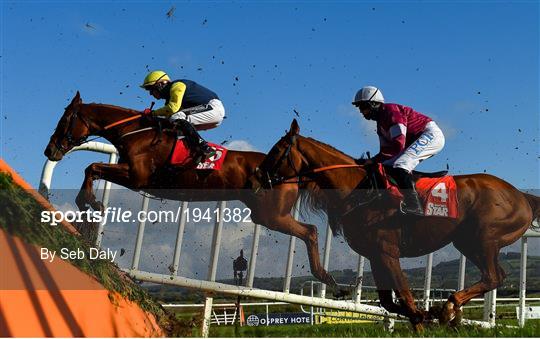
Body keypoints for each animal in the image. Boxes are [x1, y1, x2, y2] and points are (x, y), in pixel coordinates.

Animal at [44, 92, 340, 290]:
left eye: (64, 119)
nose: (50, 150)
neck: (136, 132)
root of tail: (289, 173)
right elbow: (92, 168)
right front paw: (88, 206)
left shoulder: (138, 176)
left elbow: (92, 167)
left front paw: (89, 202)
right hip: (267, 215)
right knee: (310, 231)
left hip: (271, 214)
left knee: (310, 231)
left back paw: (324, 276)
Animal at [253, 119, 540, 330]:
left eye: (276, 151)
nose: (258, 175)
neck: (360, 190)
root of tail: (522, 196)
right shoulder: (375, 255)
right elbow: (390, 302)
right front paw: (423, 315)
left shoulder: (387, 252)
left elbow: (405, 295)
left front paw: (423, 318)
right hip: (467, 241)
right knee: (492, 276)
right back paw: (449, 312)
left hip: (484, 237)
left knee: (493, 276)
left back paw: (448, 308)